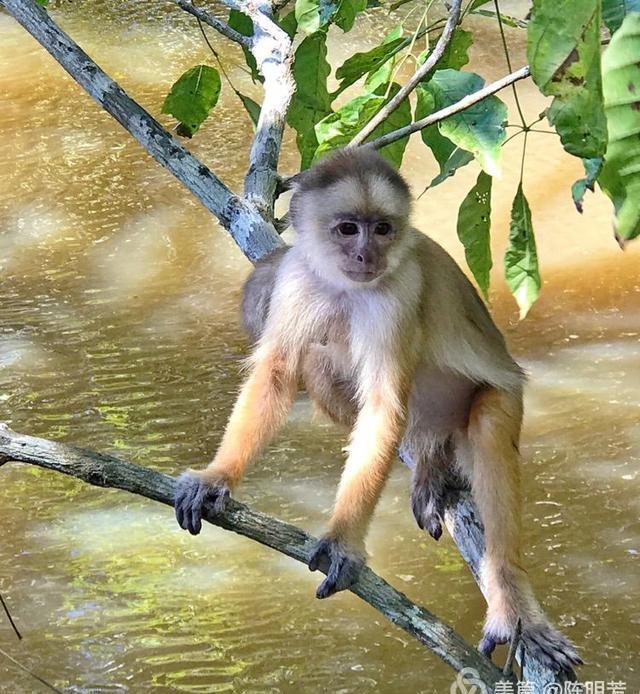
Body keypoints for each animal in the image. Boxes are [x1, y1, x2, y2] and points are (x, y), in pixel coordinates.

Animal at [174, 147, 580, 676]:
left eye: (382, 229)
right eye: (349, 229)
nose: (367, 255)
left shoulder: (399, 291)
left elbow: (385, 405)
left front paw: (344, 542)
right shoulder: (296, 279)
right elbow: (278, 375)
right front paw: (216, 478)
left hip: (499, 396)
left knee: (488, 427)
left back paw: (512, 604)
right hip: (422, 423)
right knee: (318, 361)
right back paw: (431, 464)